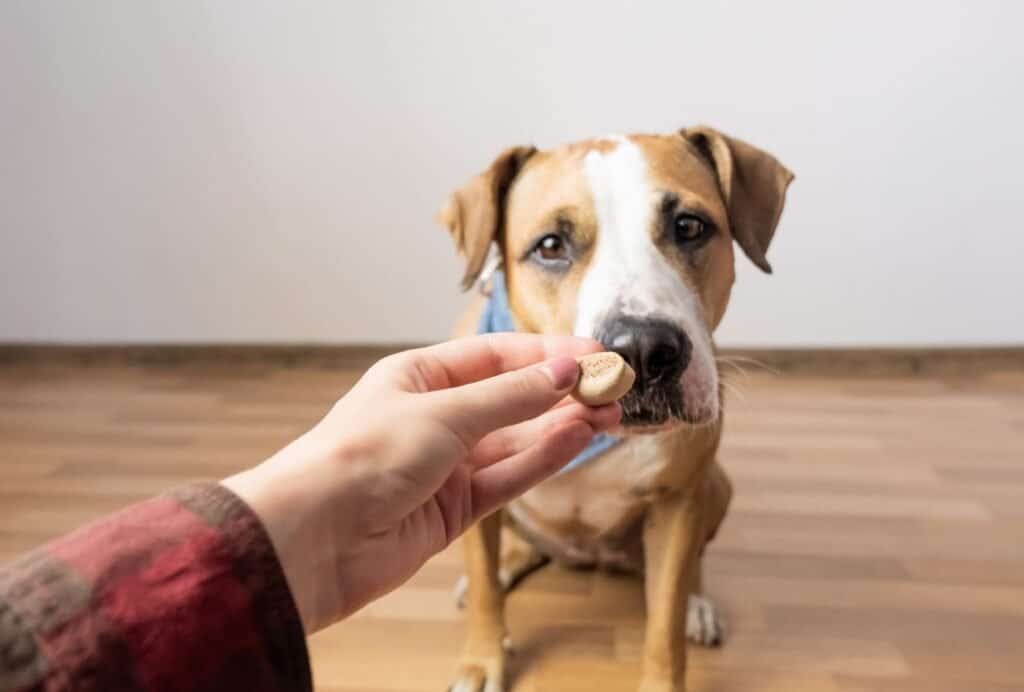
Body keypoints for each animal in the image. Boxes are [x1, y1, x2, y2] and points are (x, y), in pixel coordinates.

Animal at [436, 126, 794, 687]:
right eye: (551, 245)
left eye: (689, 226)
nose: (644, 350)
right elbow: (487, 592)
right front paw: (481, 661)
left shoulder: (677, 501)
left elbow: (664, 623)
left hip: (715, 486)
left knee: (691, 566)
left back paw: (697, 604)